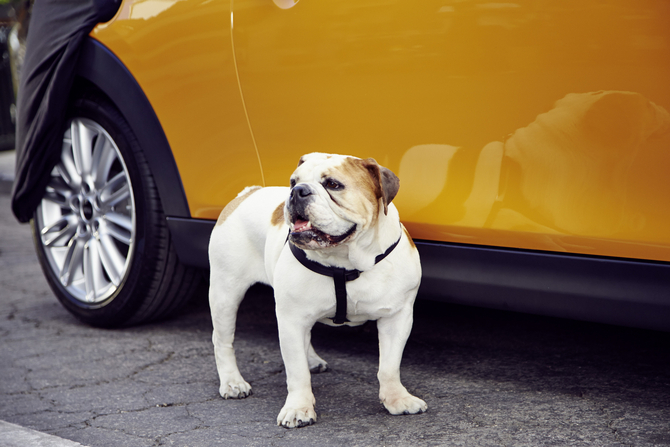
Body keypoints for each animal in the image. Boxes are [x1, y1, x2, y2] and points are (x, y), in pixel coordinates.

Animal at [209, 153, 426, 428]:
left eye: (333, 184)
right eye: (293, 181)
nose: (297, 191)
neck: (346, 262)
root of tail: (248, 193)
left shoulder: (397, 317)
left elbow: (389, 366)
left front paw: (398, 399)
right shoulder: (291, 319)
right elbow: (297, 372)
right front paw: (298, 408)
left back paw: (310, 359)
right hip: (225, 292)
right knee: (223, 339)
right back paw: (232, 382)